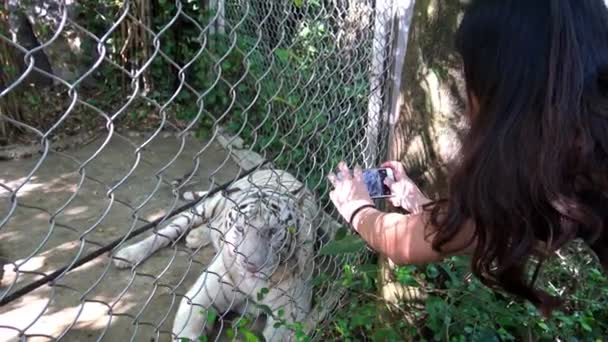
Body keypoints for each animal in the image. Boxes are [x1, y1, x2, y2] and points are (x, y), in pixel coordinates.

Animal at [111, 170, 320, 342]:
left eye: (273, 231)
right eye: (239, 228)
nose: (251, 266)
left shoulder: (290, 316)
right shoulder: (199, 297)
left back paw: (195, 237)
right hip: (206, 207)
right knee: (167, 231)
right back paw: (127, 255)